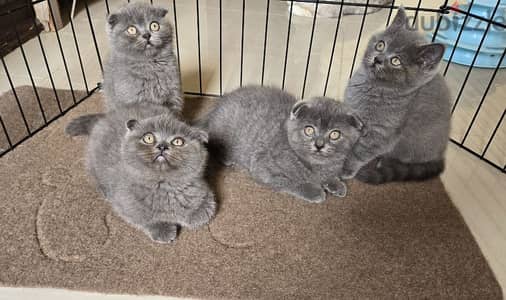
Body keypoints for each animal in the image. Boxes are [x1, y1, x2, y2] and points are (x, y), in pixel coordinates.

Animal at [76, 106, 214, 244]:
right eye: (148, 138)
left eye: (178, 141)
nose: (162, 146)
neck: (163, 185)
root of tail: (109, 115)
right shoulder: (125, 203)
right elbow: (144, 218)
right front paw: (163, 230)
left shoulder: (205, 193)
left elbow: (203, 212)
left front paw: (193, 215)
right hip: (93, 161)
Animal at [202, 86, 364, 204]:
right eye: (309, 130)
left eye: (335, 134)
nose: (319, 145)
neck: (315, 165)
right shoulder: (263, 167)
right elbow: (290, 181)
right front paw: (314, 190)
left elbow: (329, 175)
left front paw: (335, 183)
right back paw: (228, 158)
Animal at [342, 8, 452, 184]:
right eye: (381, 45)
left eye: (395, 61)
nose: (378, 59)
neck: (374, 86)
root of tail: (441, 155)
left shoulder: (382, 133)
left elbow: (361, 151)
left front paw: (345, 167)